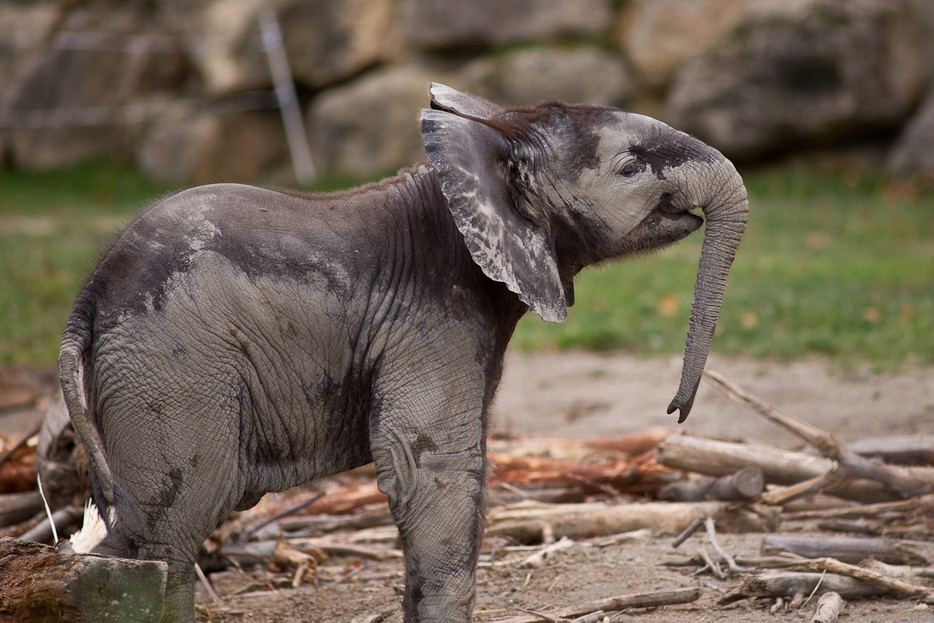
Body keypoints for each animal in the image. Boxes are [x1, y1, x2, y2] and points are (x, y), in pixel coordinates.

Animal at [58, 83, 748, 622]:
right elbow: (434, 469)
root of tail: (89, 294)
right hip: (174, 368)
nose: (675, 410)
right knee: (171, 530)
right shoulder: (427, 319)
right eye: (630, 169)